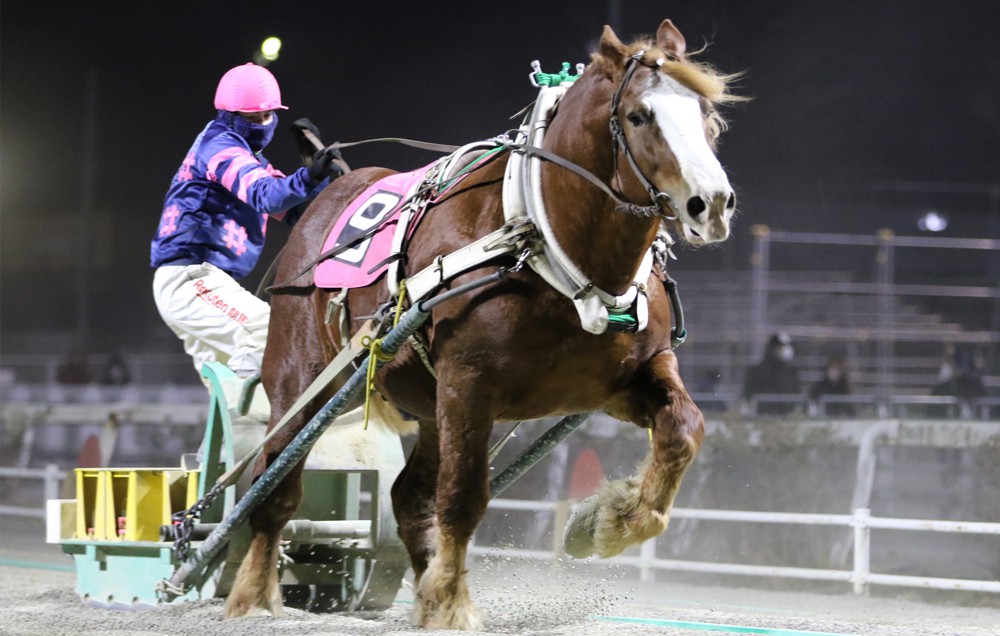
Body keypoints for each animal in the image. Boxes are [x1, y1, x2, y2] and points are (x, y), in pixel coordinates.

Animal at [229, 18, 744, 632]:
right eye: (640, 115)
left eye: (706, 114)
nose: (711, 204)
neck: (542, 241)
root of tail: (334, 190)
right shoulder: (469, 384)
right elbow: (462, 498)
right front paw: (453, 604)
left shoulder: (623, 378)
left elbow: (684, 430)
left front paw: (605, 522)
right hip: (301, 378)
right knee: (276, 482)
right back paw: (254, 594)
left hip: (431, 406)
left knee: (408, 499)